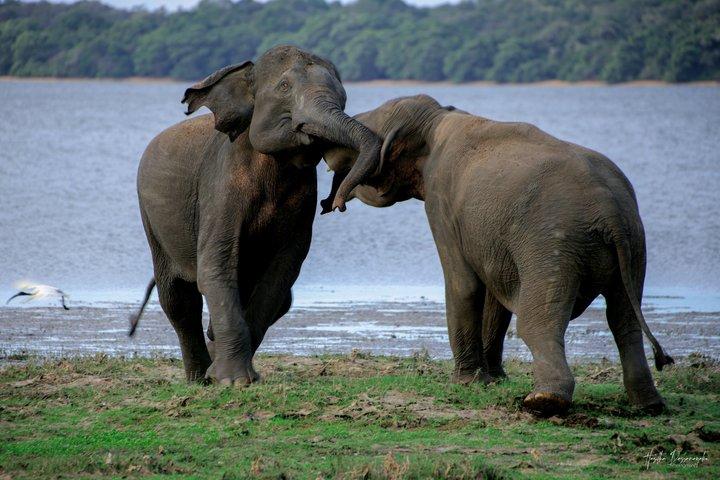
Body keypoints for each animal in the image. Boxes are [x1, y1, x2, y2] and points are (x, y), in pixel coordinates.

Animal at [128, 46, 381, 385]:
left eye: (343, 97)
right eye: (284, 87)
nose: (334, 203)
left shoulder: (302, 204)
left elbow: (281, 275)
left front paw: (235, 374)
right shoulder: (220, 185)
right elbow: (216, 265)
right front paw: (232, 381)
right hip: (152, 219)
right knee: (178, 299)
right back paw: (198, 377)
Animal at [322, 94, 673, 416]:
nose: (331, 204)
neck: (438, 118)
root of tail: (610, 209)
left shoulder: (442, 204)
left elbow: (463, 284)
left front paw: (465, 382)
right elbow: (494, 295)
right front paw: (493, 379)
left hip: (553, 246)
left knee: (537, 322)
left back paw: (544, 402)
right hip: (634, 245)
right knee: (624, 319)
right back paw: (648, 405)